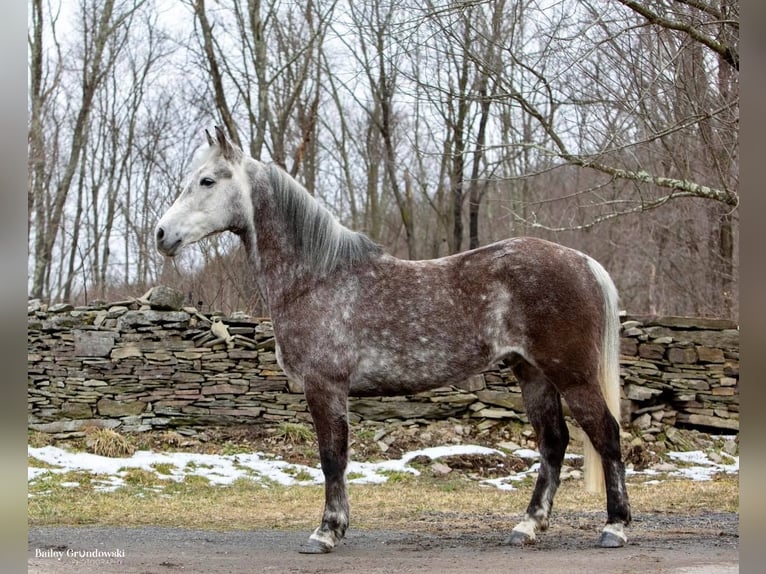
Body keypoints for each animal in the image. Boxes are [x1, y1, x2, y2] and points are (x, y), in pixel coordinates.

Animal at [154, 126, 632, 552]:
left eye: (207, 180)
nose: (161, 235)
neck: (316, 278)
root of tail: (584, 261)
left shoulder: (325, 386)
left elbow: (332, 458)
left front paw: (327, 532)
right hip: (532, 373)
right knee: (553, 443)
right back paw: (528, 526)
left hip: (572, 375)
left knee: (606, 434)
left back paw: (615, 527)